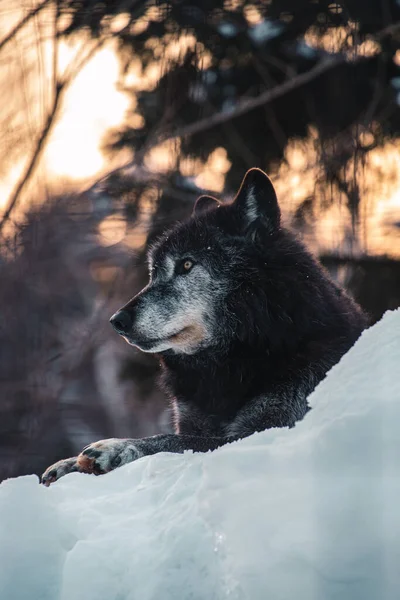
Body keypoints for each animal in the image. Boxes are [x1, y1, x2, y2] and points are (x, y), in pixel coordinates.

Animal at [42, 166, 368, 486]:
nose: (117, 321)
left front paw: (115, 447)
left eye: (186, 265)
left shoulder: (267, 427)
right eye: (153, 272)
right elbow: (182, 435)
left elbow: (174, 441)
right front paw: (66, 463)